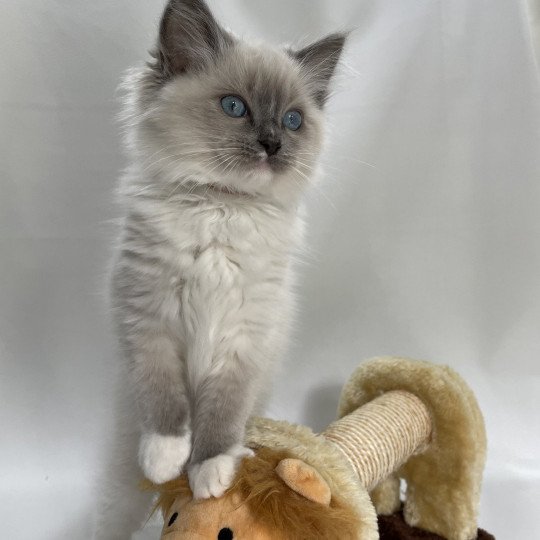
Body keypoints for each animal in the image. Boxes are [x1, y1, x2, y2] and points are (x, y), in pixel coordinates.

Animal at [94, 0, 344, 536]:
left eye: (293, 120)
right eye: (235, 108)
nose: (272, 143)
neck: (222, 208)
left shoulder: (246, 337)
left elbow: (223, 414)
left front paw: (211, 472)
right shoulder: (148, 317)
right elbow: (164, 398)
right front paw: (168, 457)